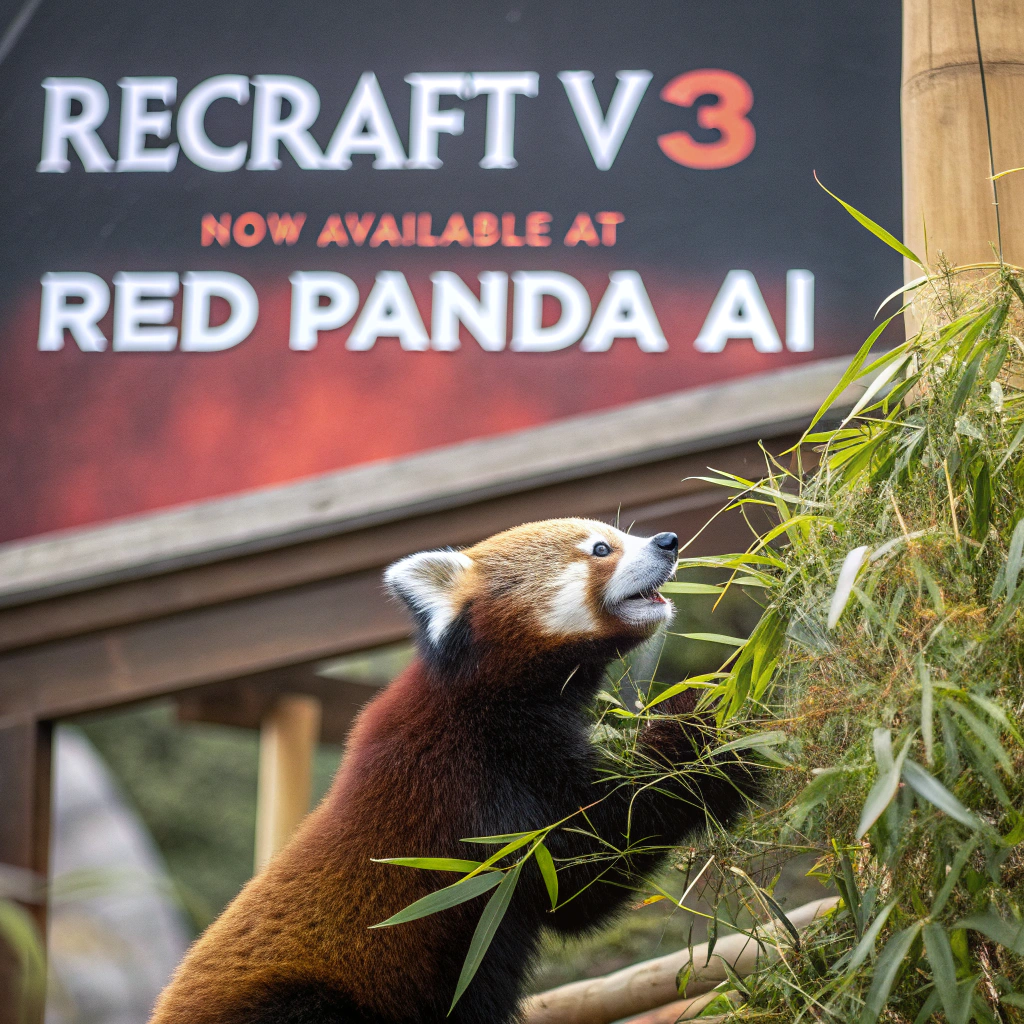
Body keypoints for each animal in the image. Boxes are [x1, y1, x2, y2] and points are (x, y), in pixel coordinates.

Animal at [149, 518, 754, 1024]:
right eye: (601, 549)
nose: (668, 541)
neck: (486, 698)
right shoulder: (476, 784)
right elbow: (584, 867)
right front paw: (718, 717)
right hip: (296, 1002)